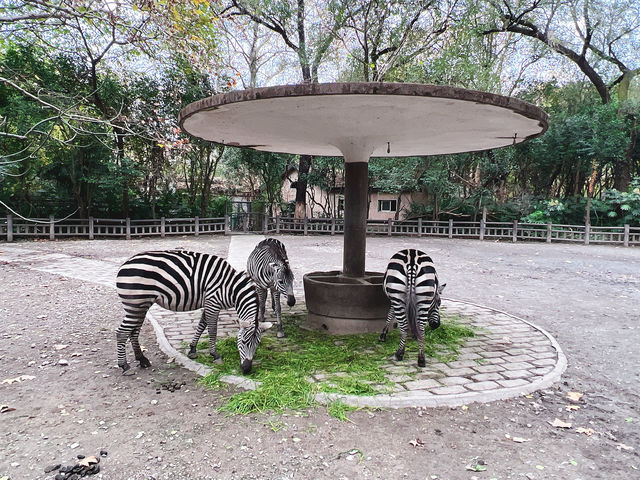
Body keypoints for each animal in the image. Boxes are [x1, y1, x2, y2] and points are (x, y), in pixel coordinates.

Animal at [116, 251, 272, 376]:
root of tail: (124, 265)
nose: (247, 369)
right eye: (243, 341)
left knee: (134, 331)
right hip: (135, 304)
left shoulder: (208, 303)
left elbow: (202, 325)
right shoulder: (213, 303)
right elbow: (212, 330)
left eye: (258, 343)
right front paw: (215, 355)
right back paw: (124, 366)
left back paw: (142, 359)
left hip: (141, 306)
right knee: (122, 332)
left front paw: (192, 349)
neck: (231, 289)